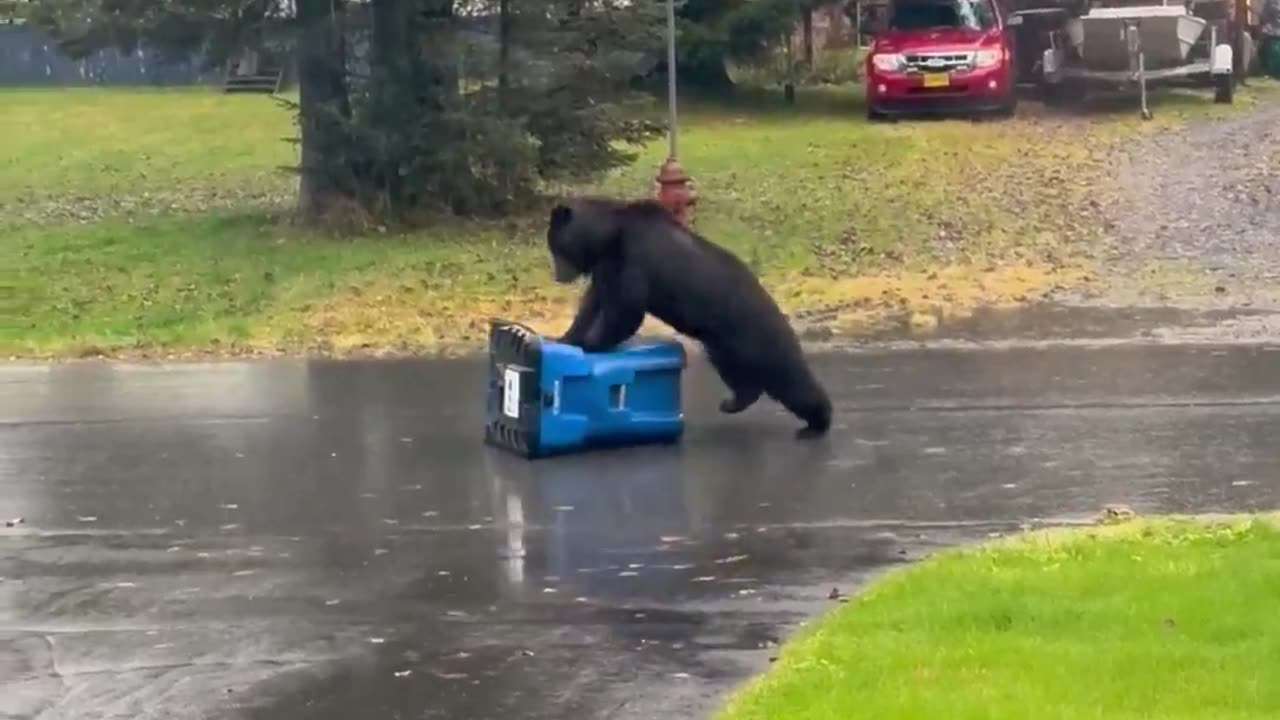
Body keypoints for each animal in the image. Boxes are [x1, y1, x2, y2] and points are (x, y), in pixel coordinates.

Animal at [546, 197, 832, 439]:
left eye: (557, 248)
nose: (558, 275)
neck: (610, 237)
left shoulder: (635, 259)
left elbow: (626, 310)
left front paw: (591, 343)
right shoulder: (607, 267)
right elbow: (594, 302)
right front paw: (566, 337)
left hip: (756, 333)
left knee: (789, 376)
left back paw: (816, 423)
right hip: (722, 344)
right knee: (736, 373)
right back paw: (734, 401)